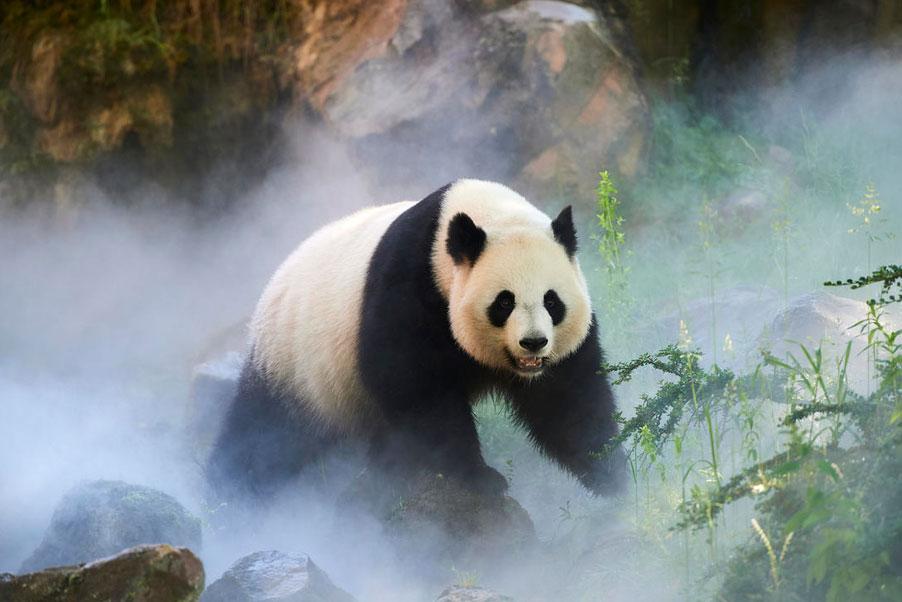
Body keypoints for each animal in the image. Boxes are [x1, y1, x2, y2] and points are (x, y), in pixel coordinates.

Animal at [207, 179, 624, 501]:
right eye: (504, 302)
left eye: (552, 301)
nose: (534, 343)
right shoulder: (409, 288)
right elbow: (418, 391)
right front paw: (480, 478)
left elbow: (567, 399)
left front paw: (610, 472)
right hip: (295, 365)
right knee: (264, 433)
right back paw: (228, 493)